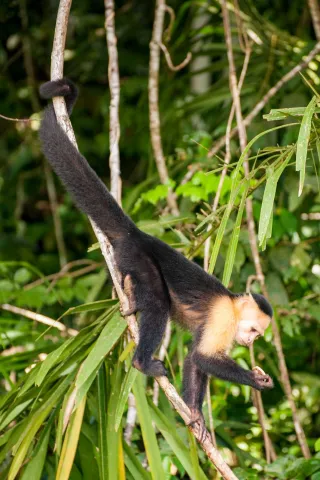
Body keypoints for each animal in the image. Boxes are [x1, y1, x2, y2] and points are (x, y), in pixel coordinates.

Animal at [38, 78, 274, 436]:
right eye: (255, 331)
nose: (250, 341)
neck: (234, 307)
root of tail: (137, 233)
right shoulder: (224, 318)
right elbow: (204, 356)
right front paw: (256, 380)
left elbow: (193, 358)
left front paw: (196, 414)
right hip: (137, 256)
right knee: (158, 301)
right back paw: (143, 362)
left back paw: (130, 303)